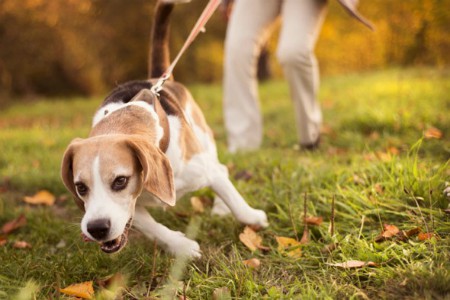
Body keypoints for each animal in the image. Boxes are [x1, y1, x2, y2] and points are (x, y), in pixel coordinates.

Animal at [61, 0, 268, 258]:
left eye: (120, 181)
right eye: (80, 187)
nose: (96, 228)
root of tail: (158, 79)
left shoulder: (205, 171)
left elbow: (234, 200)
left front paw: (254, 218)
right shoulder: (132, 208)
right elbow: (152, 228)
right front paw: (182, 246)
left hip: (204, 142)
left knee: (222, 169)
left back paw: (221, 208)